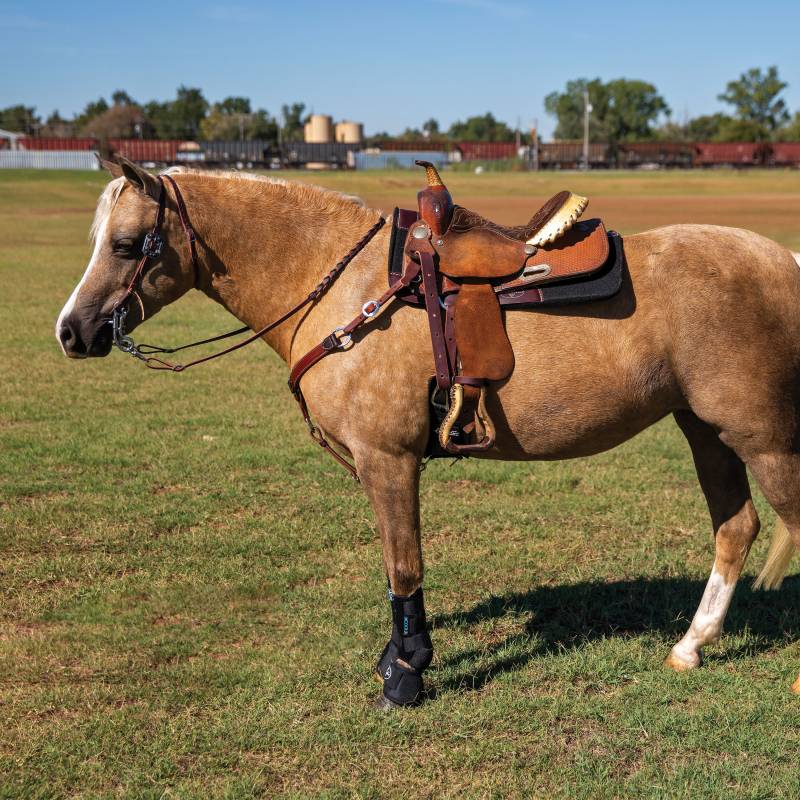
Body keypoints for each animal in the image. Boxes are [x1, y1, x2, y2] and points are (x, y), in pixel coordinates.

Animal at [56, 157, 800, 706]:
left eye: (125, 244)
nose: (71, 332)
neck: (342, 283)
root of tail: (786, 261)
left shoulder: (389, 458)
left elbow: (404, 565)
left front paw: (407, 673)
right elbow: (397, 567)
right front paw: (397, 659)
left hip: (761, 435)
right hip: (706, 430)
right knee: (736, 528)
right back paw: (690, 645)